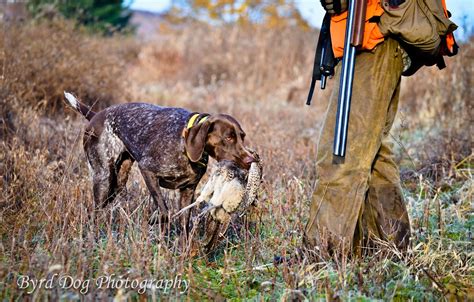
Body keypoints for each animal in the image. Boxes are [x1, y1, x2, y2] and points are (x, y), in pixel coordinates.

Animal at [65, 92, 256, 229]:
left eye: (242, 136)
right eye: (229, 138)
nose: (250, 160)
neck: (183, 143)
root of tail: (96, 115)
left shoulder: (188, 191)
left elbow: (184, 224)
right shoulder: (147, 170)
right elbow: (164, 211)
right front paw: (155, 221)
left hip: (117, 182)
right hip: (104, 178)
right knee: (95, 212)